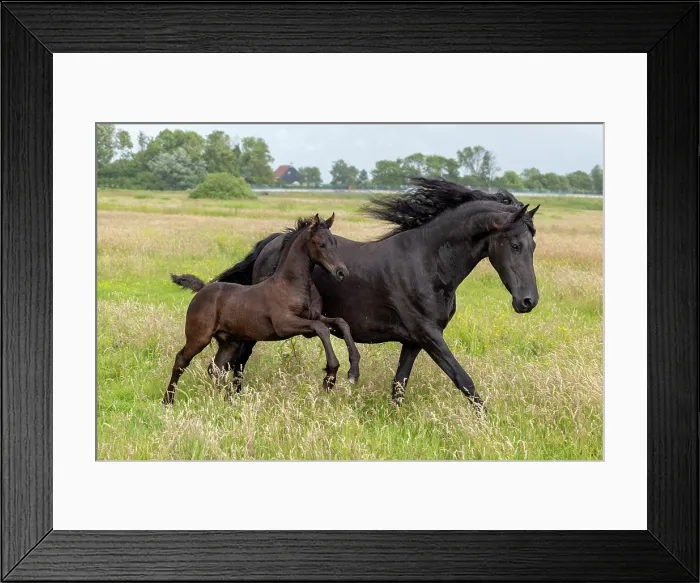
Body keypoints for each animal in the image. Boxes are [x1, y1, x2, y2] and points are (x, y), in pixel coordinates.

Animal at [164, 213, 361, 405]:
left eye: (335, 244)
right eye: (321, 244)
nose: (341, 273)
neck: (293, 284)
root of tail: (202, 289)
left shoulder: (314, 317)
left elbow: (340, 322)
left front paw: (353, 371)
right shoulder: (285, 325)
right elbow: (321, 329)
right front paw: (330, 375)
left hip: (229, 342)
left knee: (216, 368)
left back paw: (222, 401)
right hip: (199, 337)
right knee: (181, 360)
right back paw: (168, 400)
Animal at [204, 178, 540, 410]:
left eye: (533, 245)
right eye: (515, 245)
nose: (528, 301)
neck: (428, 263)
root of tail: (272, 242)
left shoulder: (414, 341)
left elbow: (399, 385)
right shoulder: (430, 335)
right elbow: (463, 380)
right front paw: (488, 423)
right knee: (237, 362)